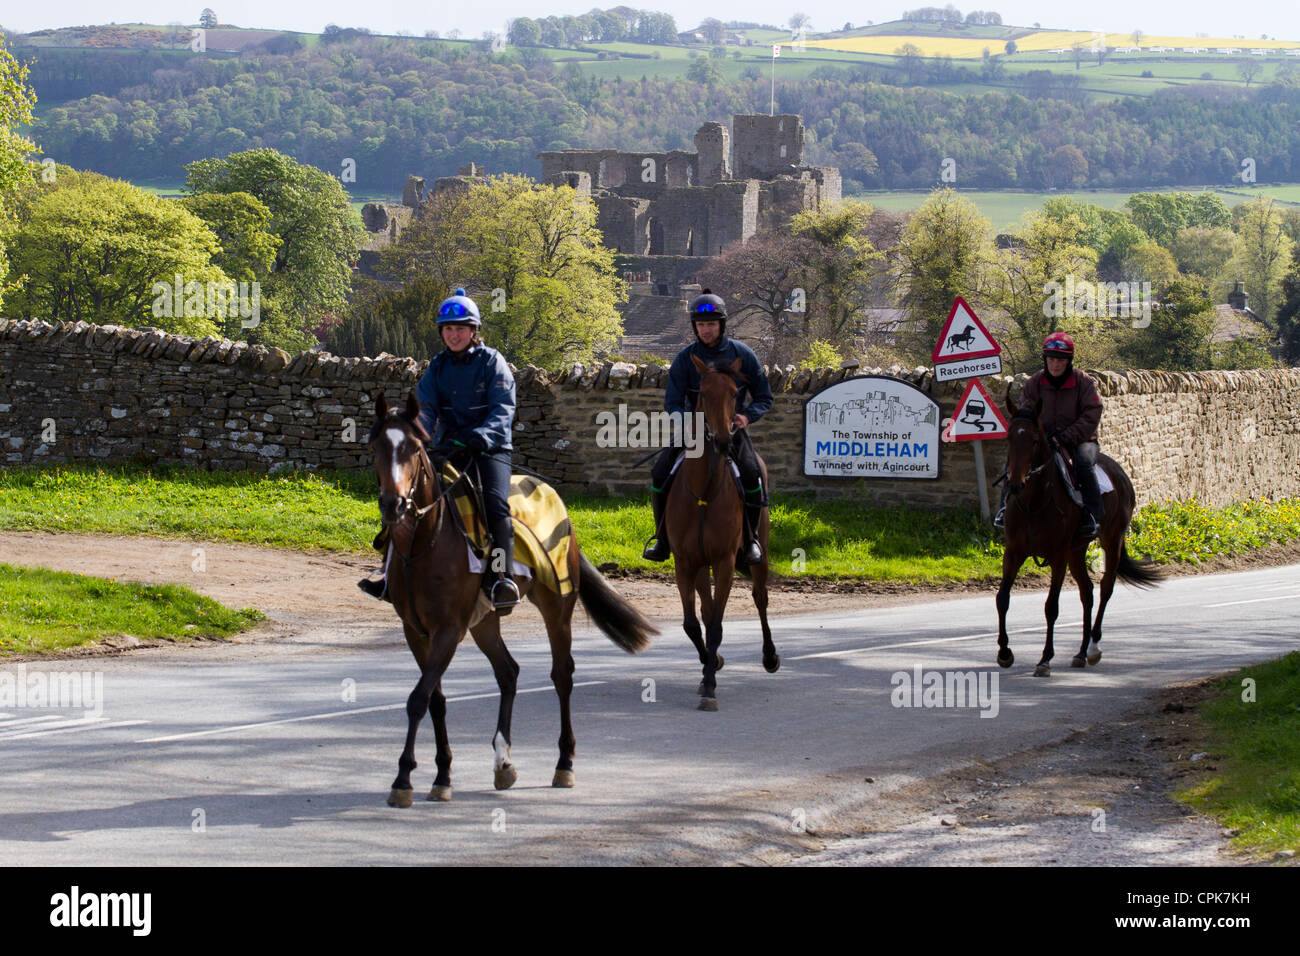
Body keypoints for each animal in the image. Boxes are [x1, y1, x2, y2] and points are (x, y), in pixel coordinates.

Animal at [369, 391, 657, 806]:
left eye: (412, 448)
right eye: (377, 445)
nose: (393, 505)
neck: (425, 543)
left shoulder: (448, 630)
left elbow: (418, 699)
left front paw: (403, 780)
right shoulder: (416, 632)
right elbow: (435, 700)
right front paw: (442, 776)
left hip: (557, 609)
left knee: (561, 676)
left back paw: (564, 765)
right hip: (485, 622)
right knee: (508, 672)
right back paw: (503, 761)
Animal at [665, 355, 779, 711]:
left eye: (734, 393)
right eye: (702, 392)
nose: (723, 439)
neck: (704, 491)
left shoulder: (726, 562)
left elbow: (715, 626)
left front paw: (711, 689)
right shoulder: (685, 562)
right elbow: (693, 622)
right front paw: (709, 666)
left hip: (758, 555)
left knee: (760, 598)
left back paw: (770, 657)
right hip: (701, 565)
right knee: (705, 608)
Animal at [996, 398, 1163, 677]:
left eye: (1035, 440)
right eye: (1008, 438)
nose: (1015, 485)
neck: (1034, 502)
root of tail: (1120, 474)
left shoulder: (1058, 556)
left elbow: (1051, 607)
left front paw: (1045, 659)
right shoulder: (1014, 553)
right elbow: (1002, 599)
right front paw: (1005, 652)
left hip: (1111, 541)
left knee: (1105, 588)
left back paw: (1093, 647)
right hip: (1077, 552)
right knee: (1087, 592)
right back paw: (1081, 652)